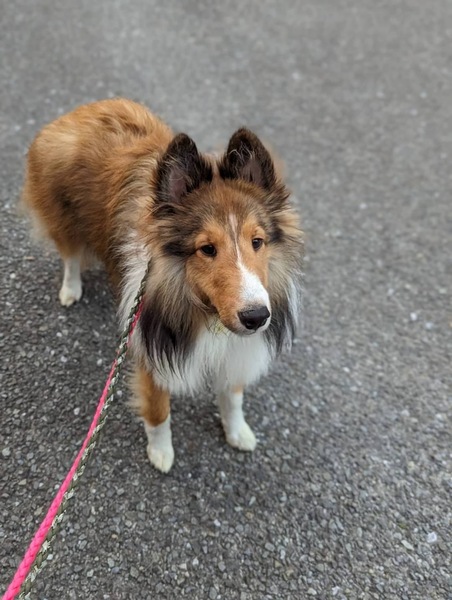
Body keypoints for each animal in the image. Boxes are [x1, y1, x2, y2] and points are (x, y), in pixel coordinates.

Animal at [22, 98, 303, 472]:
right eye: (206, 249)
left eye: (257, 242)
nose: (256, 317)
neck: (207, 311)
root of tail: (85, 108)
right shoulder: (151, 348)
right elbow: (158, 410)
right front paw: (161, 452)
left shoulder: (236, 348)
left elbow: (232, 395)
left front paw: (238, 431)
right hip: (62, 218)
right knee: (70, 255)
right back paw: (71, 289)